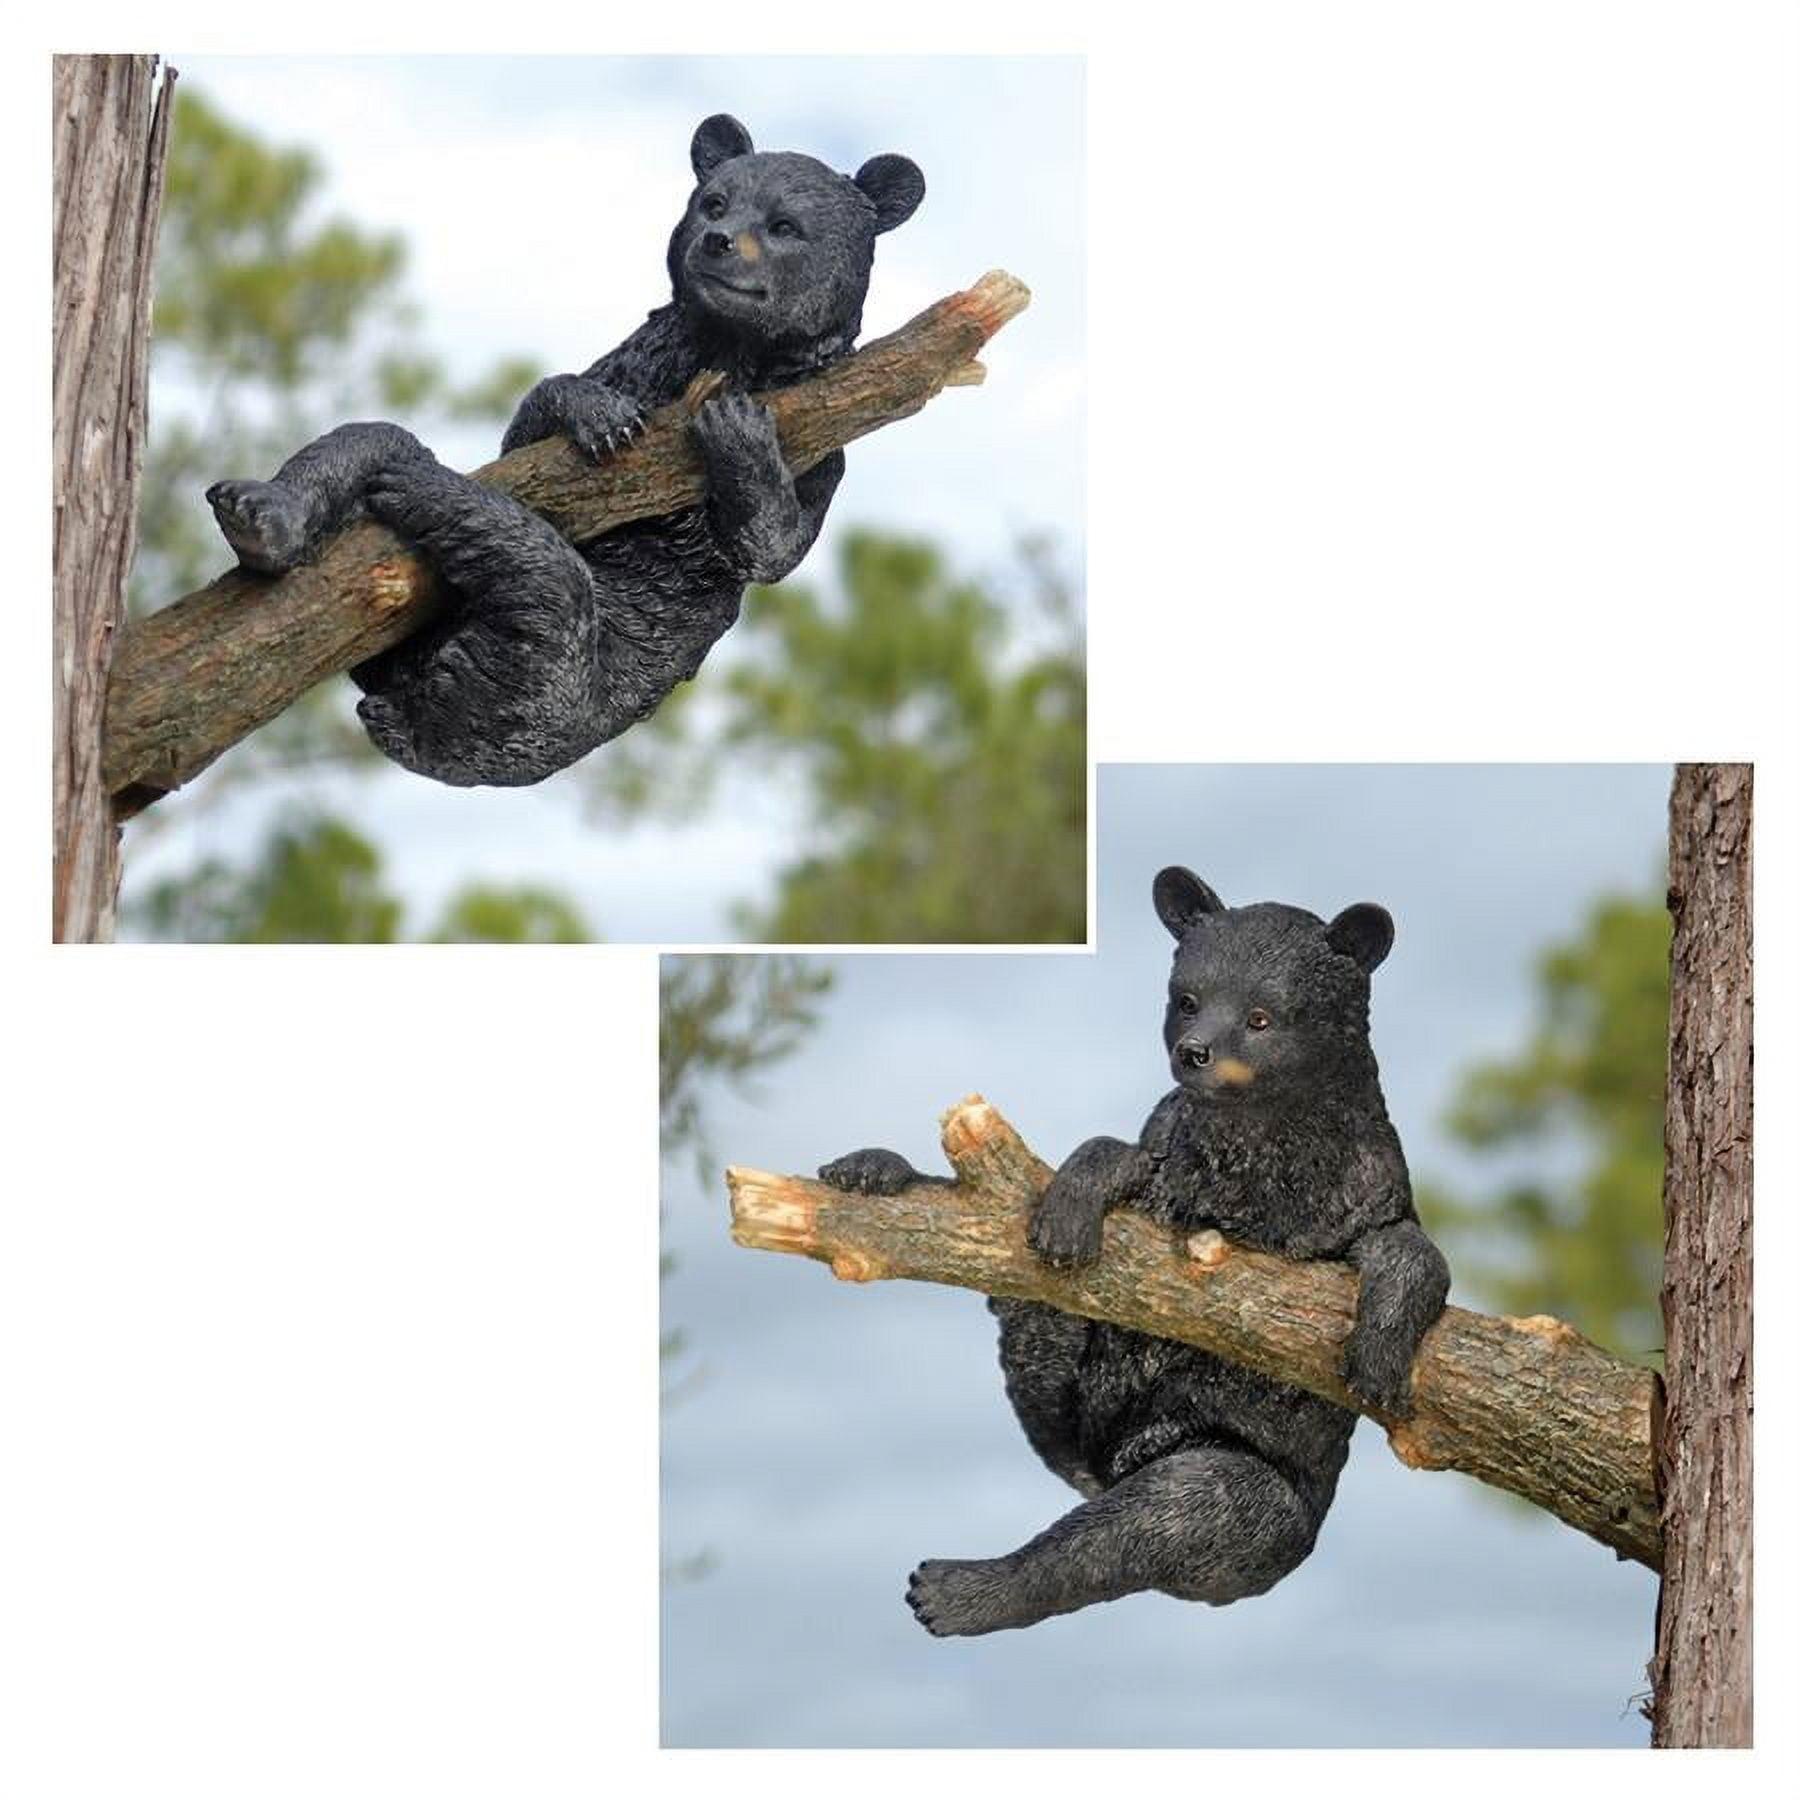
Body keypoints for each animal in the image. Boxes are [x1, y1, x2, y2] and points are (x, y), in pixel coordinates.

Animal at [203, 113, 926, 787]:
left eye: (784, 226)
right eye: (714, 202)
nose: (718, 241)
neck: (726, 351)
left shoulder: (825, 442)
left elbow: (773, 546)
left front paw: (737, 429)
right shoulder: (639, 361)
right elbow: (530, 429)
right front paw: (596, 412)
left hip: (559, 691)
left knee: (546, 591)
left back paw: (426, 494)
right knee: (370, 439)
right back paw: (262, 515)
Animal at [817, 866, 1451, 1637]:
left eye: (1262, 1017)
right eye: (1186, 1000)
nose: (1195, 1052)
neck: (1258, 1162)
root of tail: (1115, 1461)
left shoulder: (1373, 1195)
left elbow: (1418, 1255)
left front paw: (1379, 1360)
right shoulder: (1163, 1165)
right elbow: (1109, 1150)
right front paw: (1070, 1205)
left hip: (1240, 1493)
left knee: (1135, 1527)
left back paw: (957, 1590)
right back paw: (875, 1171)